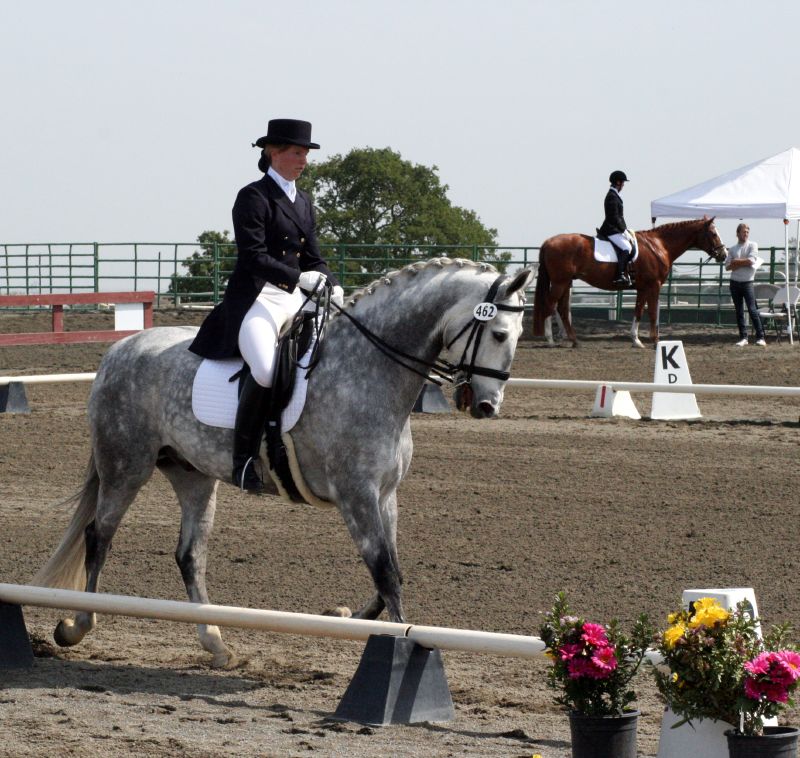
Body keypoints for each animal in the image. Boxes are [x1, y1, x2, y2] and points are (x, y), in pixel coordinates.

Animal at [32, 262, 532, 672]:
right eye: (499, 334)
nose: (487, 406)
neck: (368, 370)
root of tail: (119, 350)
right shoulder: (356, 495)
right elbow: (386, 572)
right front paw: (398, 650)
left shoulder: (385, 494)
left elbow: (390, 570)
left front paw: (348, 617)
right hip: (126, 467)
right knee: (99, 536)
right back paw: (76, 626)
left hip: (192, 475)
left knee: (189, 555)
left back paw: (216, 644)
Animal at [536, 218, 728, 348]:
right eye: (713, 234)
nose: (723, 254)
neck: (658, 246)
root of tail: (548, 242)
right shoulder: (654, 285)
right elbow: (652, 313)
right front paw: (655, 341)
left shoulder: (642, 288)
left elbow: (638, 311)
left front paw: (636, 340)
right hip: (560, 282)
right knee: (550, 304)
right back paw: (550, 340)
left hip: (566, 282)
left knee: (561, 308)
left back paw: (574, 340)